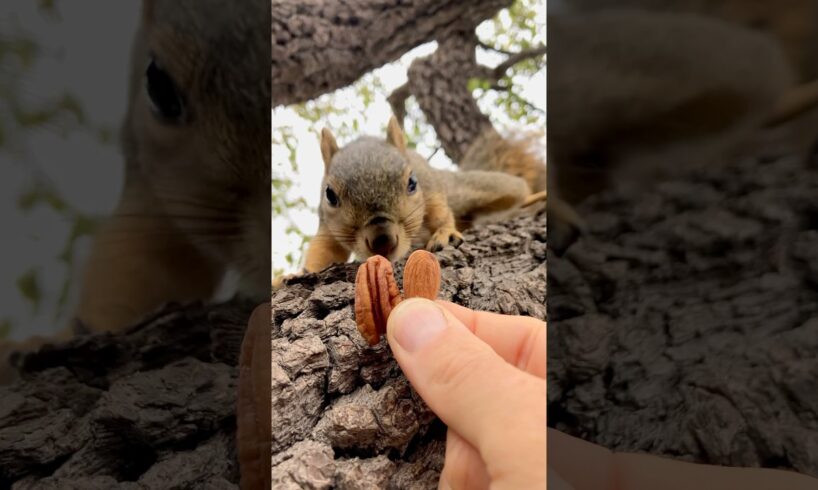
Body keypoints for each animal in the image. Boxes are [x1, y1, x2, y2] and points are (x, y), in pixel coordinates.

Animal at [301, 116, 543, 273]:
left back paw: (536, 197)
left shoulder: (430, 188)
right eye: (330, 195)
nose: (383, 241)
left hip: (477, 187)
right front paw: (300, 273)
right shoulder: (327, 225)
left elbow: (439, 213)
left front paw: (446, 233)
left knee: (517, 188)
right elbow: (325, 250)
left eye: (412, 183)